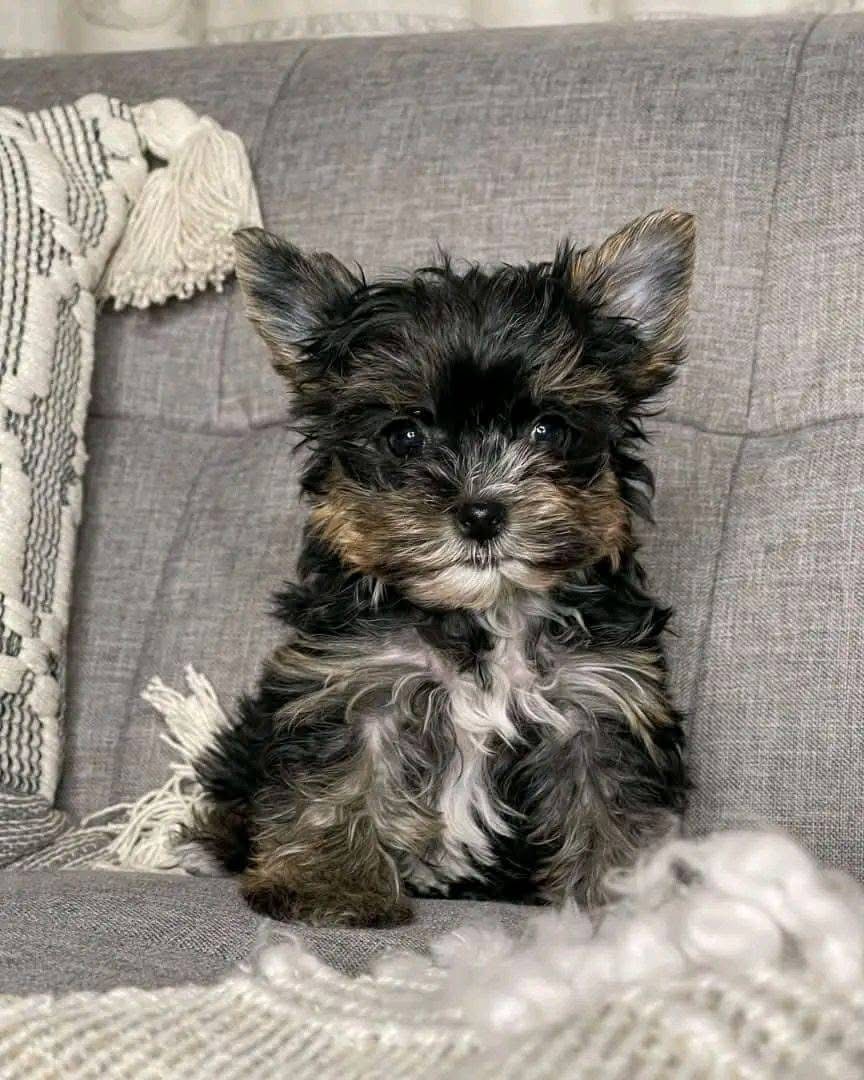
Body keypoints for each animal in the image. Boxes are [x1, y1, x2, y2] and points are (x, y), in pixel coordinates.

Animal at [186, 209, 693, 926]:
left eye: (547, 429)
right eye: (404, 436)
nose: (480, 512)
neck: (484, 612)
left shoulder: (599, 699)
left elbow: (611, 804)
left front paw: (623, 896)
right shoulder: (352, 679)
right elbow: (339, 780)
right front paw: (328, 885)